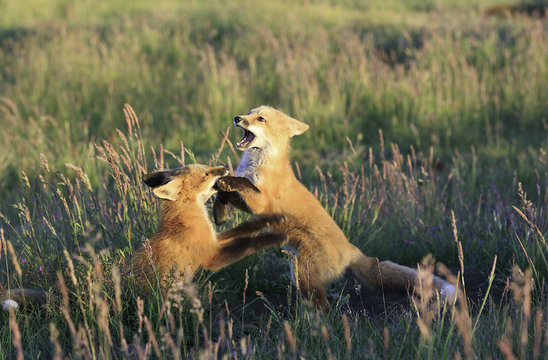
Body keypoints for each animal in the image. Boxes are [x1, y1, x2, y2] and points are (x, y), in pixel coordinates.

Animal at [212, 105, 456, 308]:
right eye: (249, 112)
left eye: (260, 119)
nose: (237, 118)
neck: (259, 164)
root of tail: (351, 248)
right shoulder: (247, 202)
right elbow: (226, 191)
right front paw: (219, 205)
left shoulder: (261, 202)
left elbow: (242, 183)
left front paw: (226, 184)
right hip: (298, 271)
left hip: (303, 272)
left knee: (324, 308)